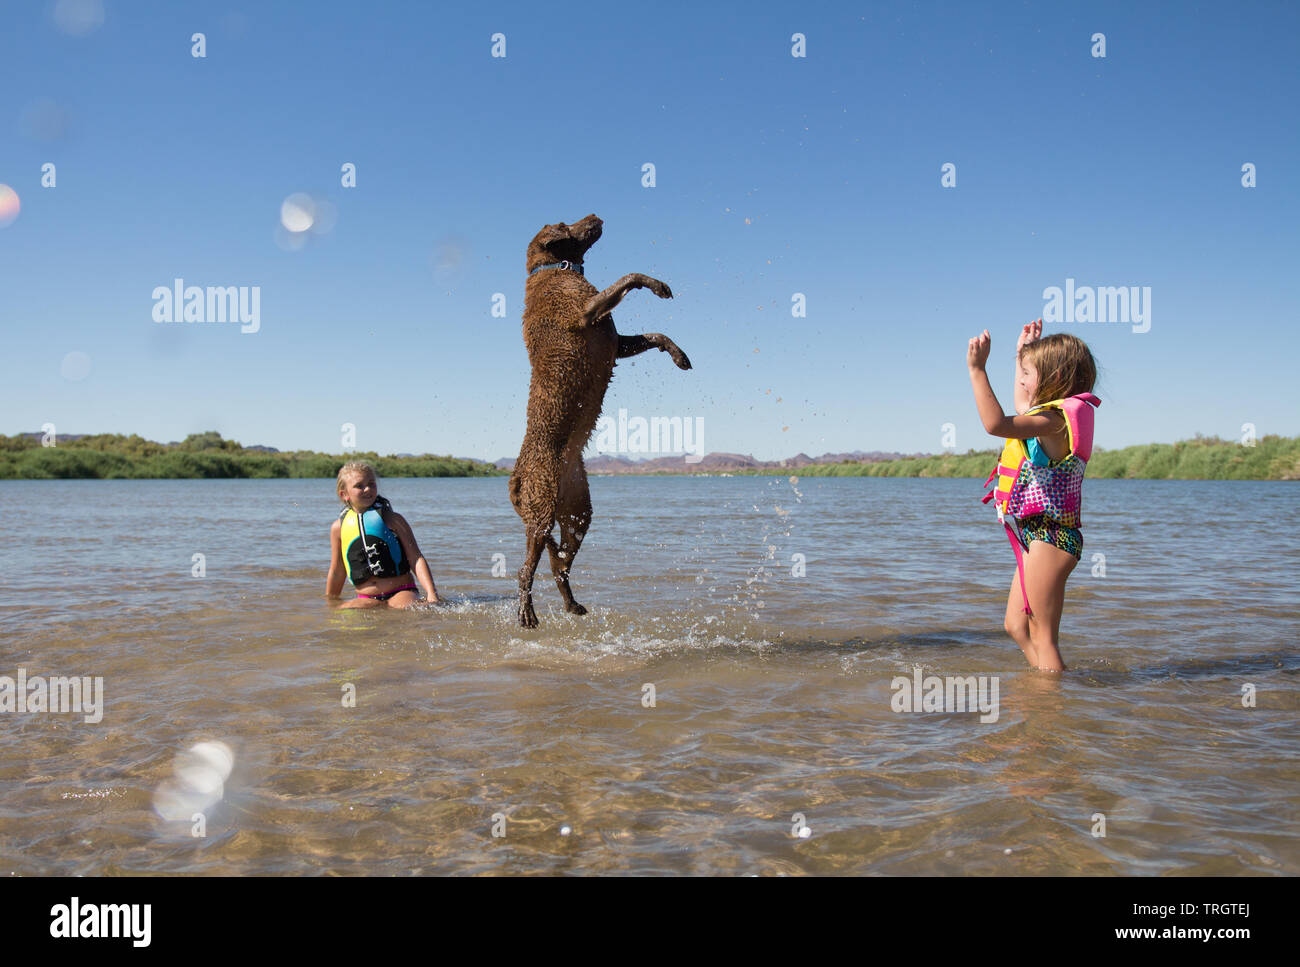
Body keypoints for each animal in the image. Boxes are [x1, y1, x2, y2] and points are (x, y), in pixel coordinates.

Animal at [506, 213, 691, 626]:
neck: (553, 269)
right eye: (565, 223)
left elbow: (654, 334)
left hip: (578, 514)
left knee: (559, 565)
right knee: (527, 567)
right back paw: (527, 612)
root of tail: (517, 477)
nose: (596, 216)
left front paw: (678, 355)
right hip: (542, 511)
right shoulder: (585, 311)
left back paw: (572, 603)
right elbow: (627, 278)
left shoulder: (616, 342)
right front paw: (657, 285)